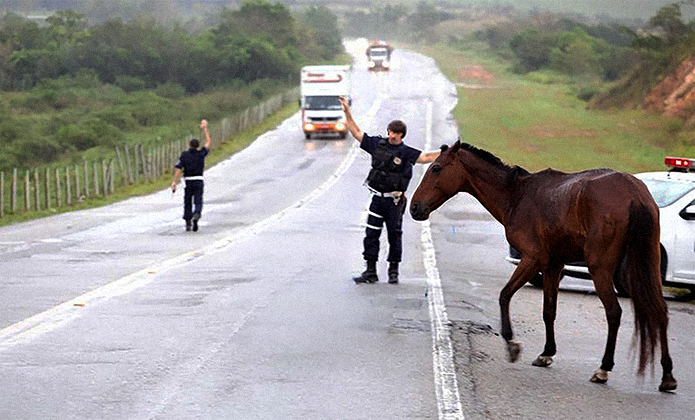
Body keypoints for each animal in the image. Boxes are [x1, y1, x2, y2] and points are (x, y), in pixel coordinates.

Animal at [410, 139, 677, 392]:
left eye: (436, 168)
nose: (414, 207)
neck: (517, 195)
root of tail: (634, 193)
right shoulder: (553, 266)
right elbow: (549, 311)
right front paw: (547, 353)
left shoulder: (532, 260)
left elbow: (504, 295)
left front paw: (512, 343)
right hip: (648, 265)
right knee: (659, 311)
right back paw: (667, 375)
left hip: (600, 269)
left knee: (614, 313)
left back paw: (603, 368)